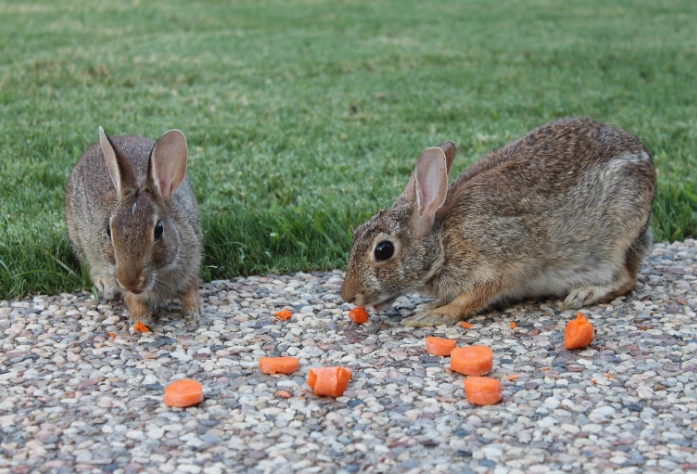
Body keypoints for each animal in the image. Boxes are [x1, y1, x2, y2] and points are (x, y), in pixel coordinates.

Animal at [65, 127, 203, 324]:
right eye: (109, 230)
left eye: (159, 230)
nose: (129, 281)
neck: (159, 273)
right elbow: (133, 299)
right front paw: (141, 320)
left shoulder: (192, 262)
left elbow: (191, 287)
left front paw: (194, 312)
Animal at [341, 117, 657, 327]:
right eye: (356, 234)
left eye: (384, 250)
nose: (348, 296)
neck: (443, 242)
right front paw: (433, 305)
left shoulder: (504, 260)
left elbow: (474, 297)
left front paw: (433, 315)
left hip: (620, 234)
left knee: (627, 279)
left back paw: (585, 294)